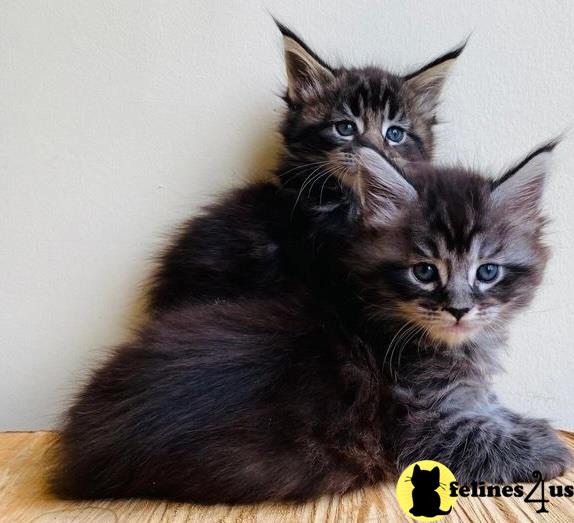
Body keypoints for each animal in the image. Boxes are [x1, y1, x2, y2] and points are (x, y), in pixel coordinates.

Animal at [53, 143, 572, 504]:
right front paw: (549, 446)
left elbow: (492, 407)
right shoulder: (424, 427)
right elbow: (485, 436)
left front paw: (526, 420)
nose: (459, 309)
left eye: (488, 272)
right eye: (424, 272)